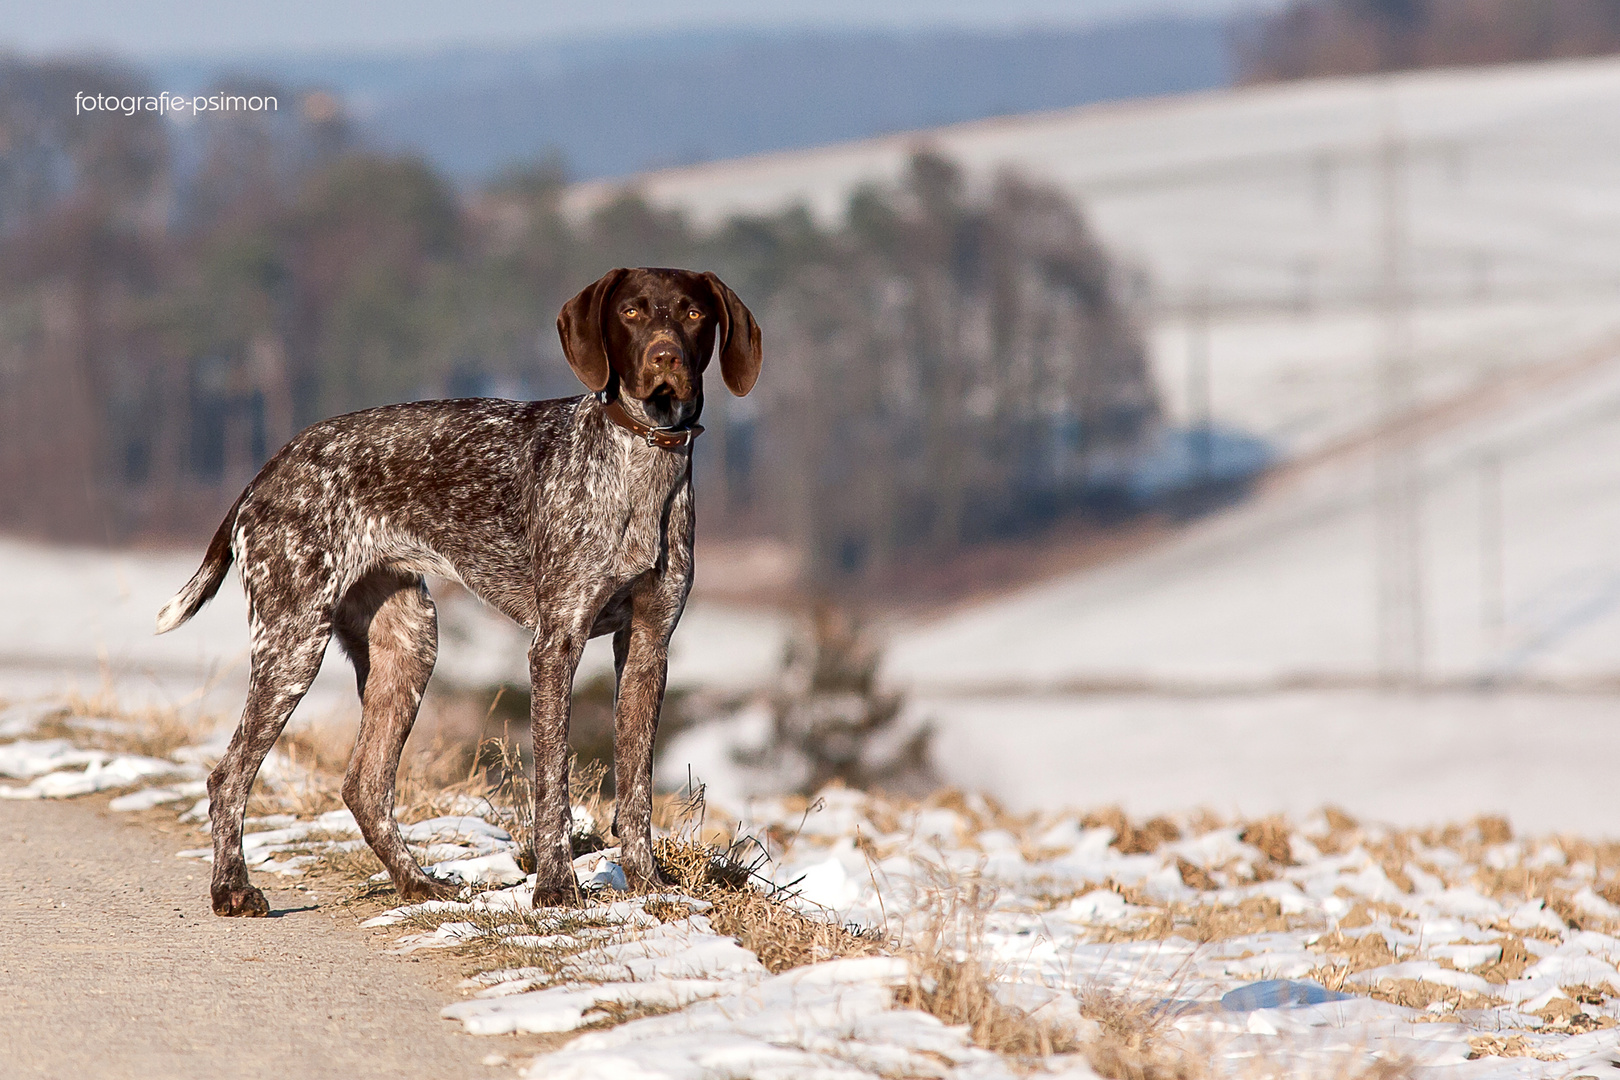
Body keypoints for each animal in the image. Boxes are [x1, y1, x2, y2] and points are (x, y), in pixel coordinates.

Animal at [154, 268, 761, 913]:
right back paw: (232, 888)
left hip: (409, 646)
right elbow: (553, 780)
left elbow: (637, 787)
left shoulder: (649, 645)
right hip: (292, 645)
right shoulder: (557, 643)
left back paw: (417, 883)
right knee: (229, 776)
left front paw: (648, 885)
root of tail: (264, 472)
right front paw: (555, 887)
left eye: (694, 314)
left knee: (365, 785)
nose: (665, 356)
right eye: (631, 313)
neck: (642, 465)